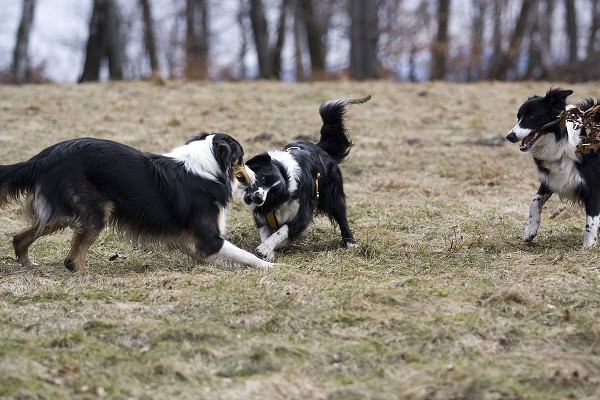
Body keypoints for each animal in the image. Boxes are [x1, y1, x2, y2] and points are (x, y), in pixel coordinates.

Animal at [241, 95, 368, 260]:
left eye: (273, 193)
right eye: (263, 178)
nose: (258, 197)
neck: (285, 173)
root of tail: (320, 148)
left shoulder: (302, 213)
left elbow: (283, 231)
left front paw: (266, 248)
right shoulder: (261, 215)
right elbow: (265, 232)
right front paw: (269, 251)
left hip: (333, 196)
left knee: (341, 216)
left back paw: (350, 242)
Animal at [506, 88, 600, 247]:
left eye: (531, 116)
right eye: (518, 117)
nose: (509, 136)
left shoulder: (593, 187)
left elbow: (591, 220)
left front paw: (588, 246)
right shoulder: (555, 177)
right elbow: (534, 202)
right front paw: (529, 231)